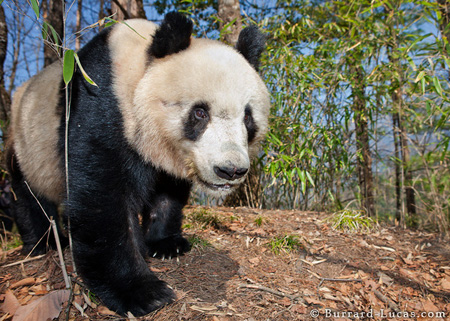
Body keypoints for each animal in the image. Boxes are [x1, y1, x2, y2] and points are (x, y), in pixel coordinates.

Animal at [7, 11, 268, 316]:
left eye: (248, 117)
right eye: (200, 112)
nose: (230, 170)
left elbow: (168, 190)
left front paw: (166, 244)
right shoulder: (101, 105)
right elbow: (103, 199)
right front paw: (142, 292)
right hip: (28, 143)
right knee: (28, 194)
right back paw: (43, 241)